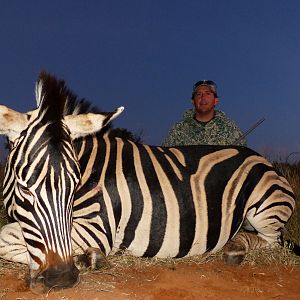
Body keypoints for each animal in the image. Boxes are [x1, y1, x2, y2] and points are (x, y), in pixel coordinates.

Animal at [0, 72, 296, 292]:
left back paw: (235, 248)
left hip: (264, 209)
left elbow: (5, 237)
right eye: (24, 187)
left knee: (273, 241)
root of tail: (264, 160)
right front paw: (87, 258)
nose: (61, 278)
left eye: (74, 185)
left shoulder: (96, 228)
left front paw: (89, 258)